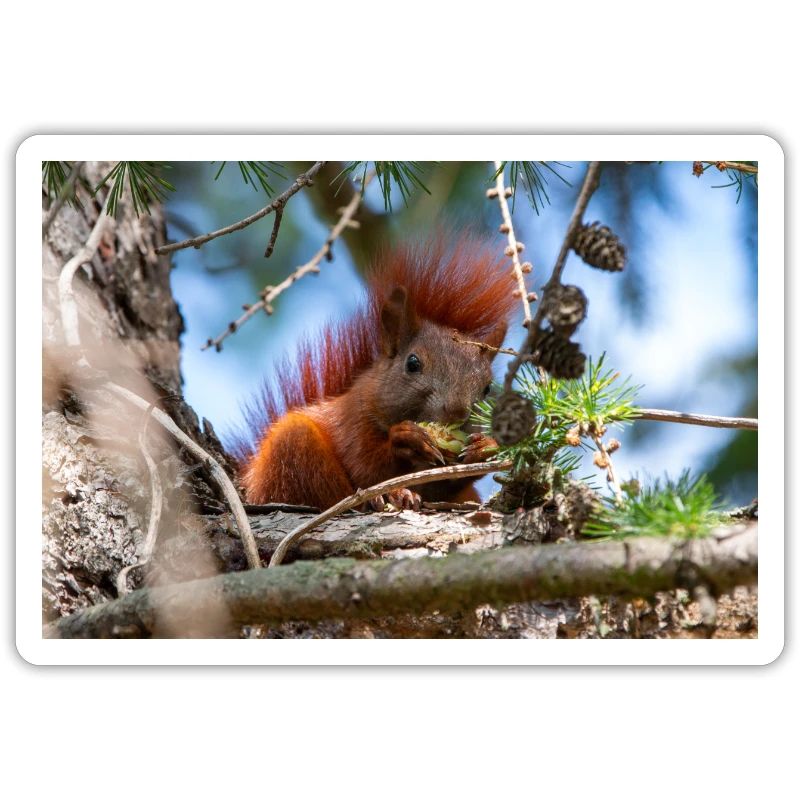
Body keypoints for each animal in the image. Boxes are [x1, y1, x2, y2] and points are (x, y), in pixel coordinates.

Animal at [235, 235, 517, 511]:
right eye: (412, 363)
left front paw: (486, 448)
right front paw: (405, 439)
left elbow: (445, 485)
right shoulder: (352, 422)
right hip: (292, 451)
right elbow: (367, 466)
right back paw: (389, 496)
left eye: (487, 387)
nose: (457, 411)